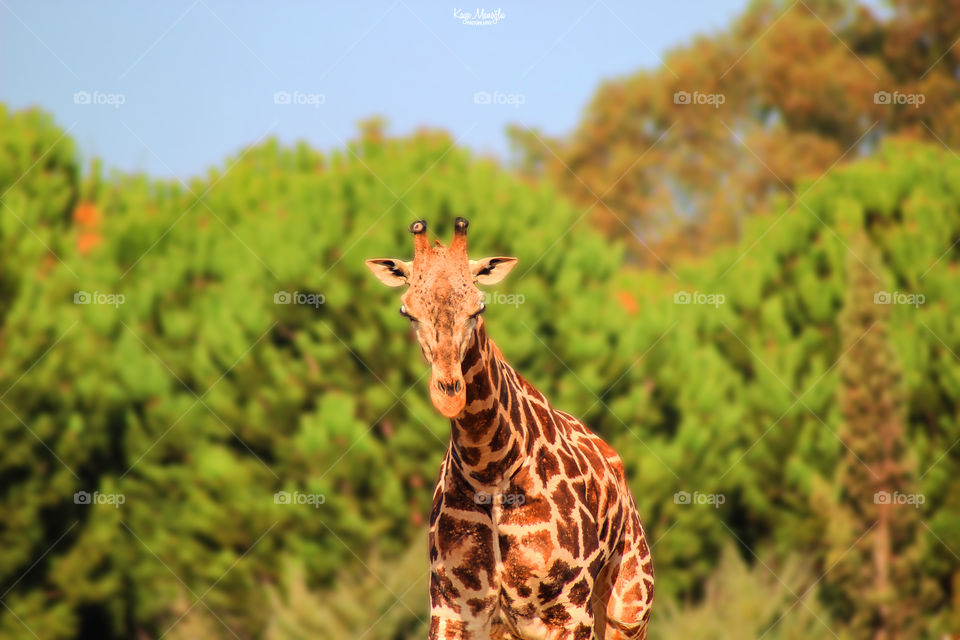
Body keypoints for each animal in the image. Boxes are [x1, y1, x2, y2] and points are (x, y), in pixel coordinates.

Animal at [366, 218, 653, 640]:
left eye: (479, 306)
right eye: (407, 312)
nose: (449, 392)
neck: (490, 468)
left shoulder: (570, 611)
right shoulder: (453, 608)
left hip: (628, 607)